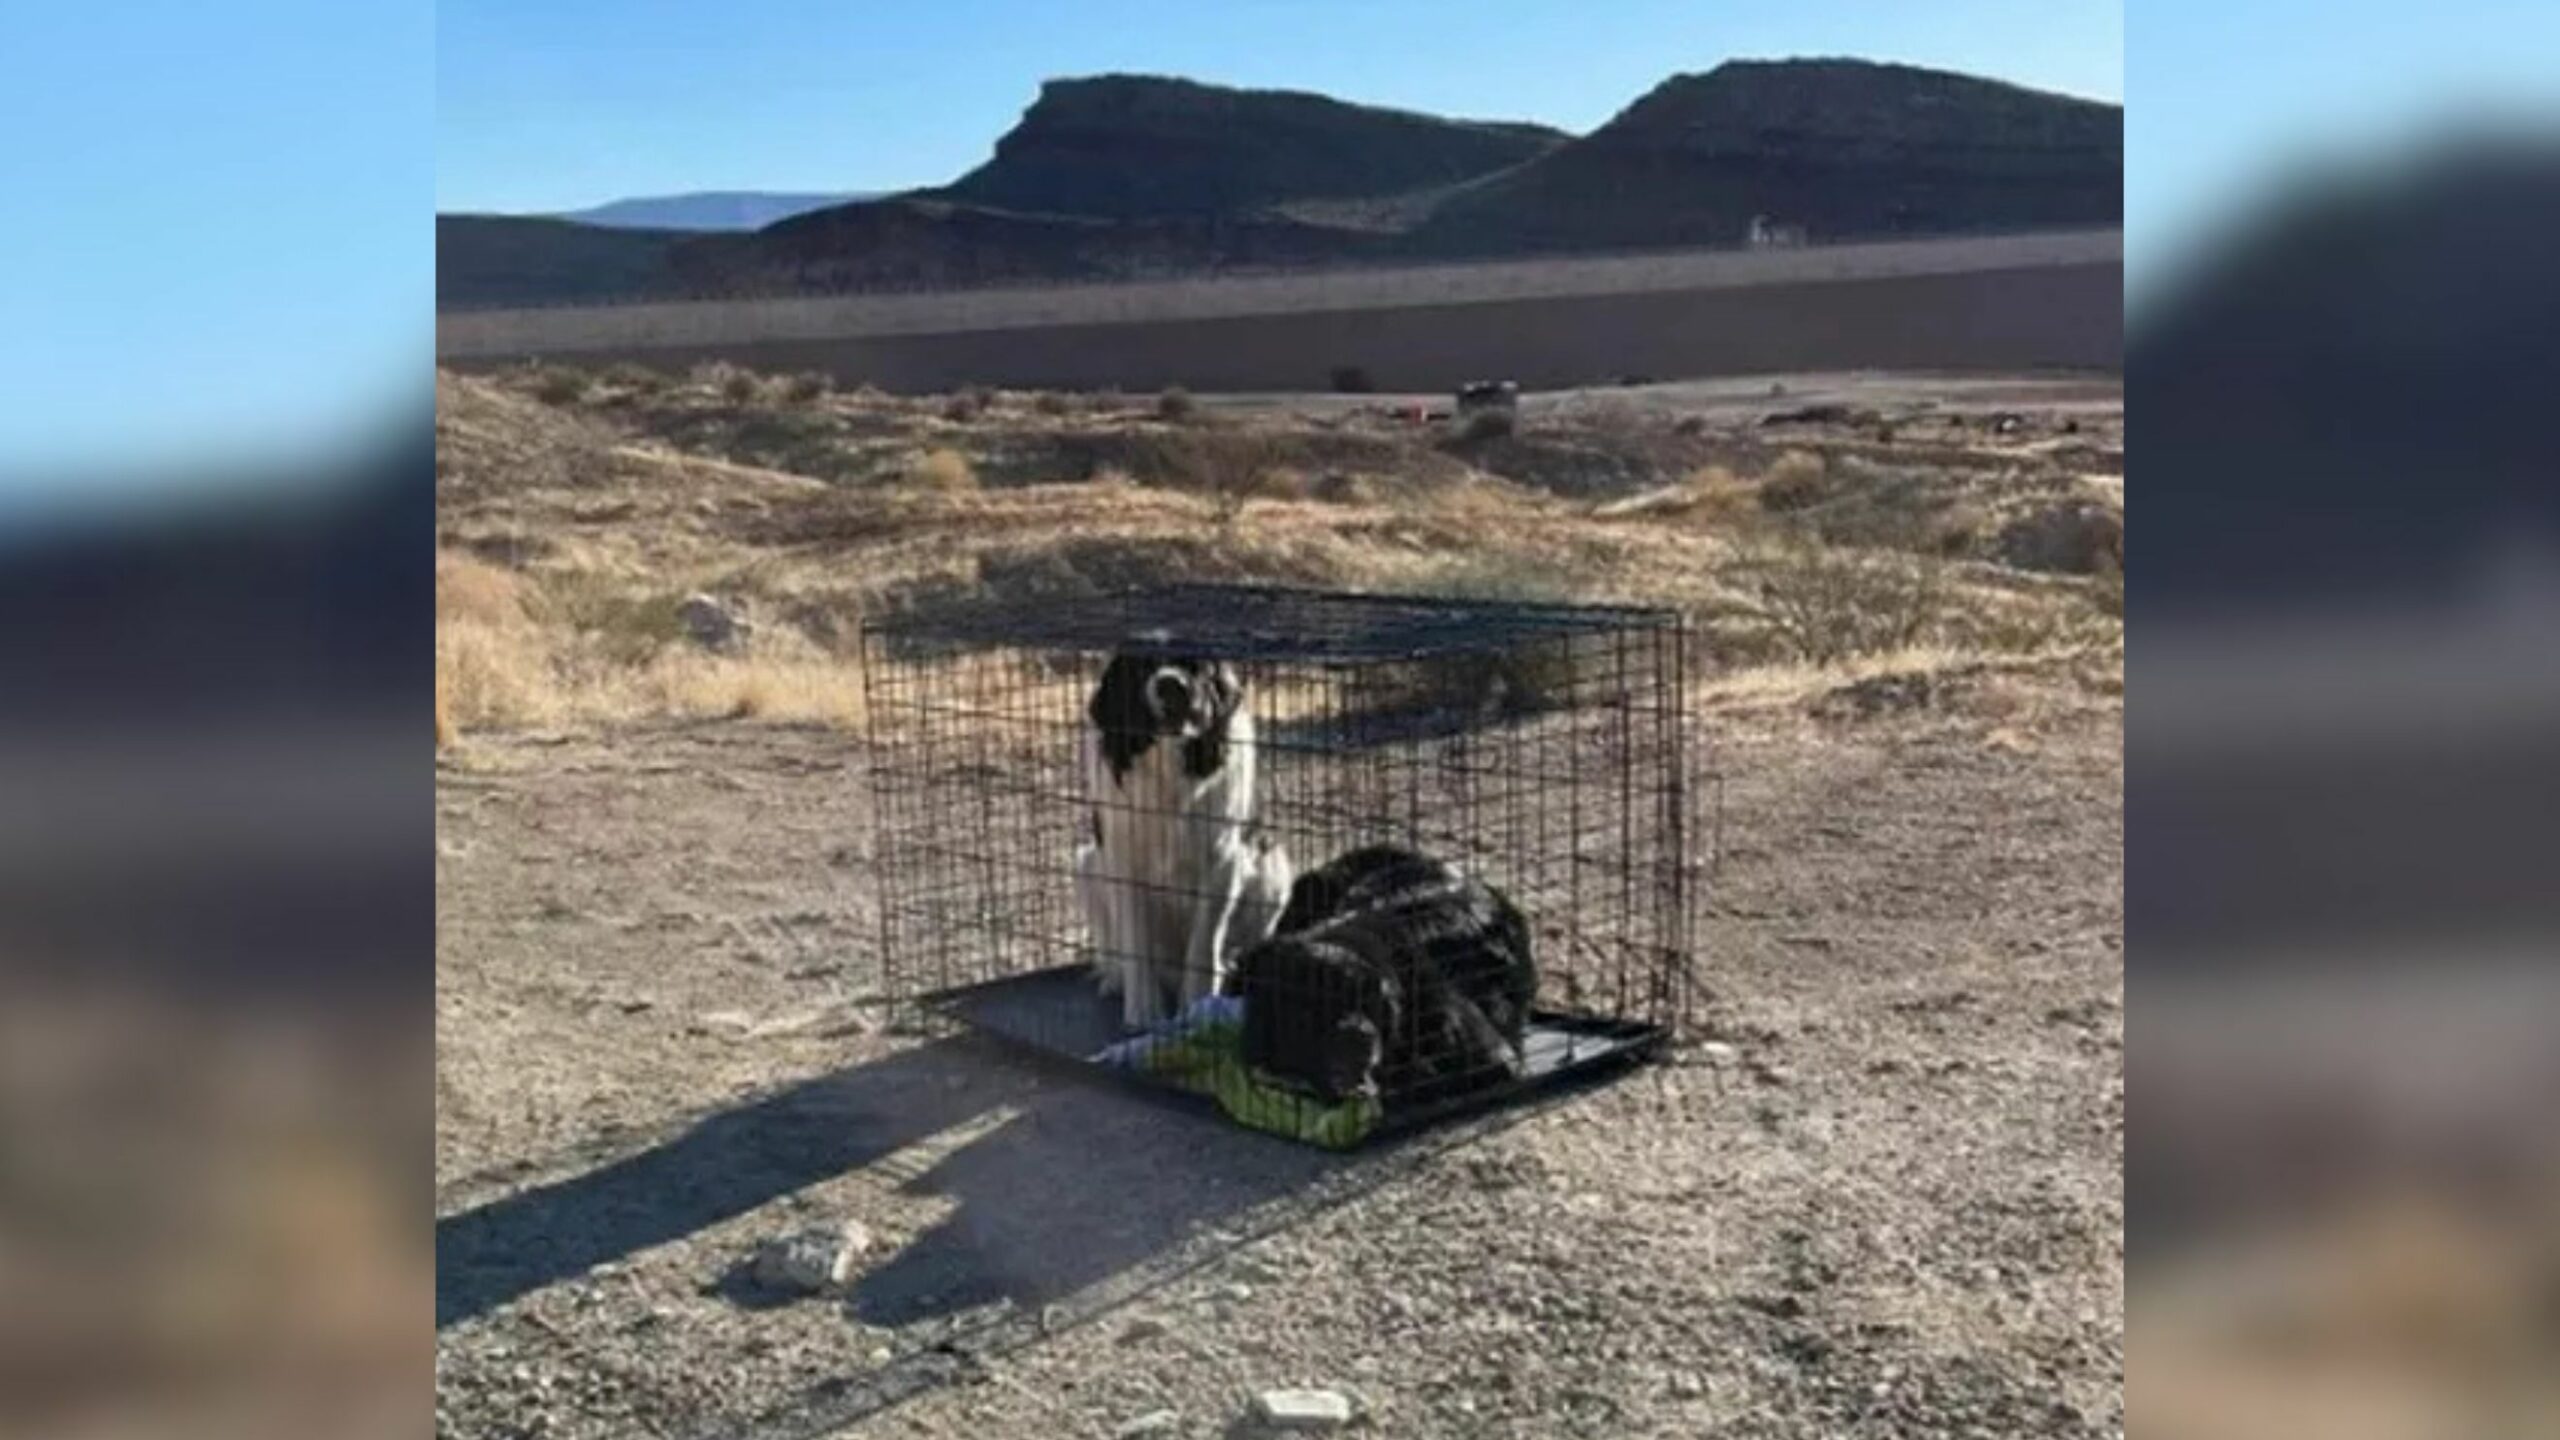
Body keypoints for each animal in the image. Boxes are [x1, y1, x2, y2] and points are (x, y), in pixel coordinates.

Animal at [1070, 645, 1290, 1024]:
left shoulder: (1223, 859)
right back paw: (1116, 980)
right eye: (1142, 667)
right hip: (1087, 865)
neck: (1167, 769)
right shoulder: (1123, 861)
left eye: (1193, 666)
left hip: (1272, 865)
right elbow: (1136, 939)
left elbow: (1204, 939)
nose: (1171, 685)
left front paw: (1197, 1006)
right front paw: (1144, 1009)